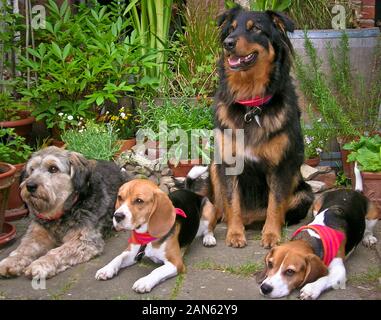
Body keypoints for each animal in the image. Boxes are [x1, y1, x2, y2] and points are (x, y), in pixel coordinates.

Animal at [0, 146, 127, 278]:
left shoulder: (84, 241)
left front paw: (40, 264)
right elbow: (24, 248)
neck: (61, 213)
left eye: (53, 168)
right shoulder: (37, 233)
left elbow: (57, 252)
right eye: (32, 169)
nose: (30, 186)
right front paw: (11, 261)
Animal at [196, 6, 312, 249]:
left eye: (256, 28)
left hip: (304, 194)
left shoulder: (280, 166)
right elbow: (233, 202)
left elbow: (275, 204)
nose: (228, 43)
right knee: (217, 207)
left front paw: (271, 235)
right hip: (214, 166)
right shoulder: (229, 163)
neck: (251, 103)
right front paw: (235, 234)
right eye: (231, 29)